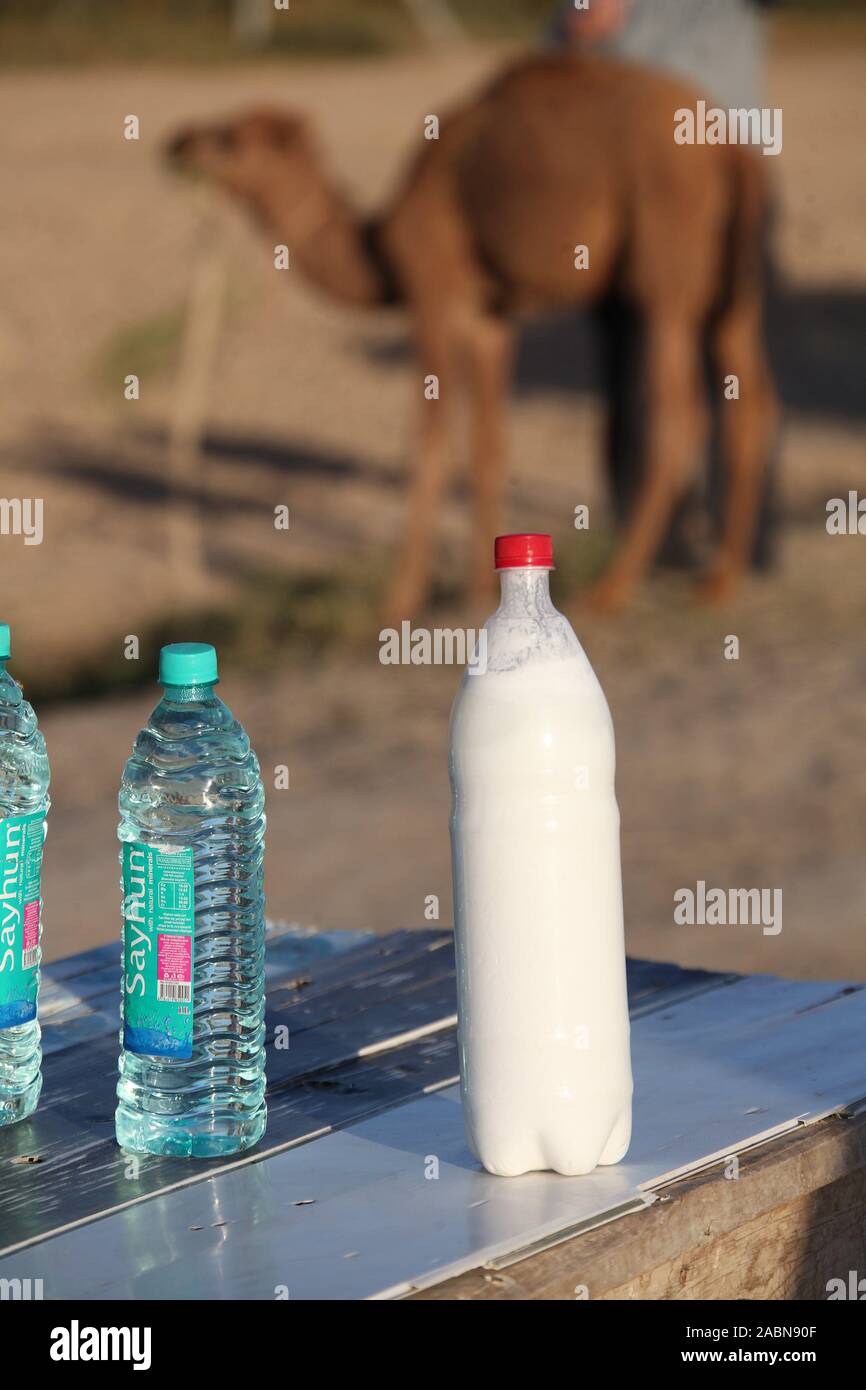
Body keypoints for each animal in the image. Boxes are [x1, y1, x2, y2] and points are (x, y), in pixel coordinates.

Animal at [169, 55, 778, 614]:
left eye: (228, 136)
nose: (176, 141)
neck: (382, 248)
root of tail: (732, 153)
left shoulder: (433, 294)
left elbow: (430, 443)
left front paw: (401, 599)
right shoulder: (491, 317)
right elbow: (489, 442)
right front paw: (479, 590)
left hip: (663, 278)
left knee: (681, 418)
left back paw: (611, 590)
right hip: (733, 291)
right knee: (751, 404)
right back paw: (720, 580)